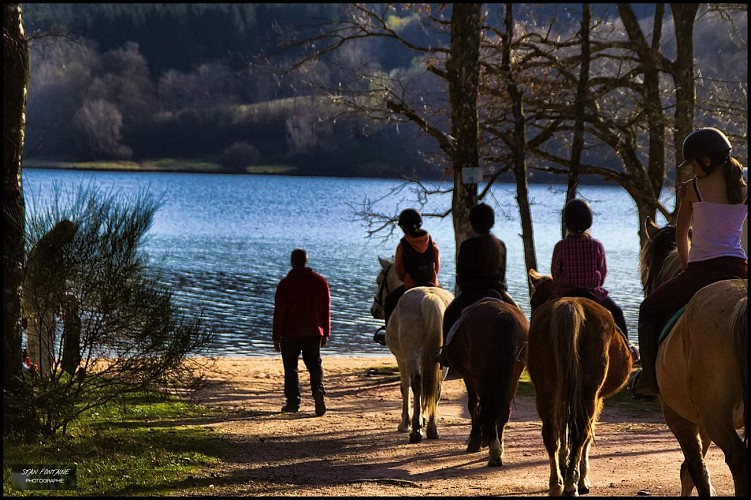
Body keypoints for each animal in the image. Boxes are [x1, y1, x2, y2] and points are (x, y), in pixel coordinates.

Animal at [370, 256, 452, 444]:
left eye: (379, 280)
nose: (374, 310)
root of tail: (430, 297)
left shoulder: (401, 359)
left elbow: (405, 387)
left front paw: (406, 423)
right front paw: (422, 418)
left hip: (411, 355)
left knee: (416, 383)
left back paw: (415, 431)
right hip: (442, 360)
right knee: (436, 386)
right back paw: (432, 428)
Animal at [444, 296, 532, 464]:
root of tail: (502, 314)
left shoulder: (470, 377)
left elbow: (473, 405)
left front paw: (475, 441)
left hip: (481, 377)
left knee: (486, 404)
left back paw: (492, 448)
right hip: (513, 377)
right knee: (504, 409)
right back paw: (497, 449)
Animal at [524, 270, 636, 496]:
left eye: (533, 300)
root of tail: (570, 306)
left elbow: (562, 431)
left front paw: (565, 466)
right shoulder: (597, 398)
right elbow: (586, 437)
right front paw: (581, 478)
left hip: (546, 389)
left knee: (552, 433)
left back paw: (556, 483)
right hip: (588, 394)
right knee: (581, 432)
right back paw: (571, 484)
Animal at [640, 216, 748, 496]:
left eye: (647, 268)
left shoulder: (679, 416)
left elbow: (694, 469)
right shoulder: (700, 418)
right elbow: (692, 470)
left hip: (715, 417)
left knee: (738, 459)